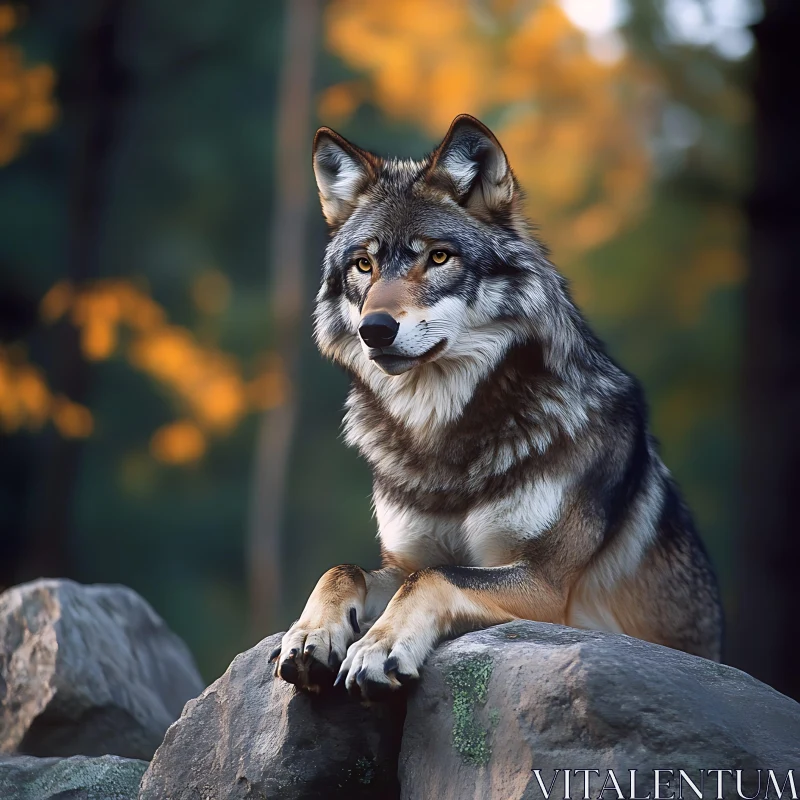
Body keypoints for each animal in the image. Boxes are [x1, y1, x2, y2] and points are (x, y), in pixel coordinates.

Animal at [268, 112, 724, 700]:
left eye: (438, 256)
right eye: (364, 265)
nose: (375, 330)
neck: (441, 440)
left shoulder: (545, 586)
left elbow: (433, 578)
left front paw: (378, 648)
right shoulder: (403, 556)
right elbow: (343, 569)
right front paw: (309, 635)